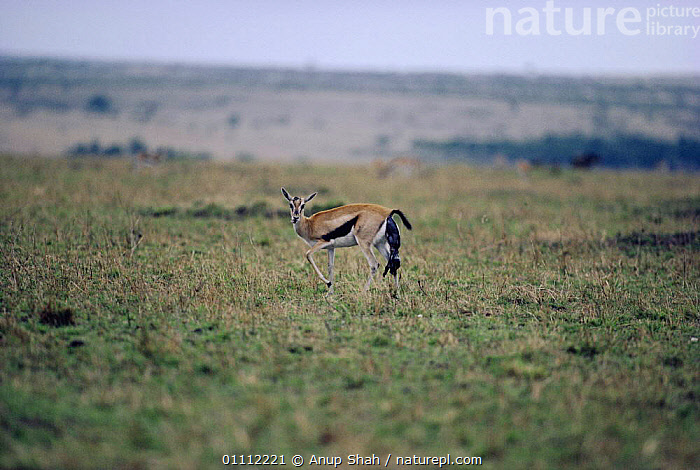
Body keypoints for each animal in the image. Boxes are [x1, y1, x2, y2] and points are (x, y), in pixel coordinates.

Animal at [281, 188, 412, 294]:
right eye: (290, 204)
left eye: (303, 205)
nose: (295, 217)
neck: (309, 225)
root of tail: (389, 212)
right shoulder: (331, 247)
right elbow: (330, 266)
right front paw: (330, 293)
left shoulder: (324, 242)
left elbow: (308, 255)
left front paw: (328, 283)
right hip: (380, 244)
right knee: (393, 264)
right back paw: (396, 292)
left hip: (364, 243)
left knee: (374, 264)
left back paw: (363, 292)